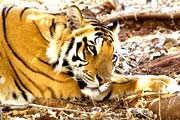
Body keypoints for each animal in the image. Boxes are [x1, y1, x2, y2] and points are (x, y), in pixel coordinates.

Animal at [0, 5, 179, 104]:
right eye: (92, 49)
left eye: (113, 57)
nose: (103, 80)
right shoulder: (62, 83)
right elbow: (123, 82)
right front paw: (165, 83)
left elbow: (124, 76)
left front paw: (165, 79)